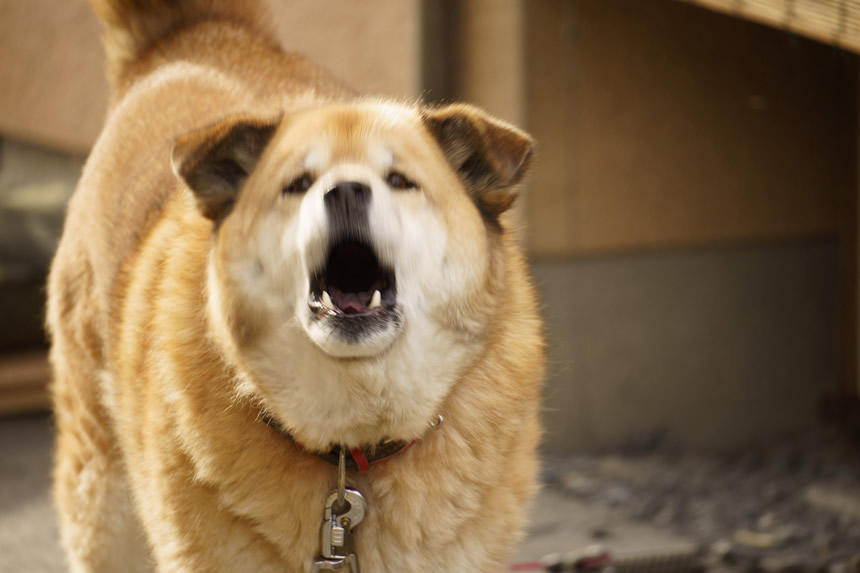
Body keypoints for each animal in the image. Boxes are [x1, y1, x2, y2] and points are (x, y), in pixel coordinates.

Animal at [47, 2, 544, 568]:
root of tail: (189, 40)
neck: (350, 450)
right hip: (103, 500)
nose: (345, 190)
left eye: (400, 180)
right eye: (298, 184)